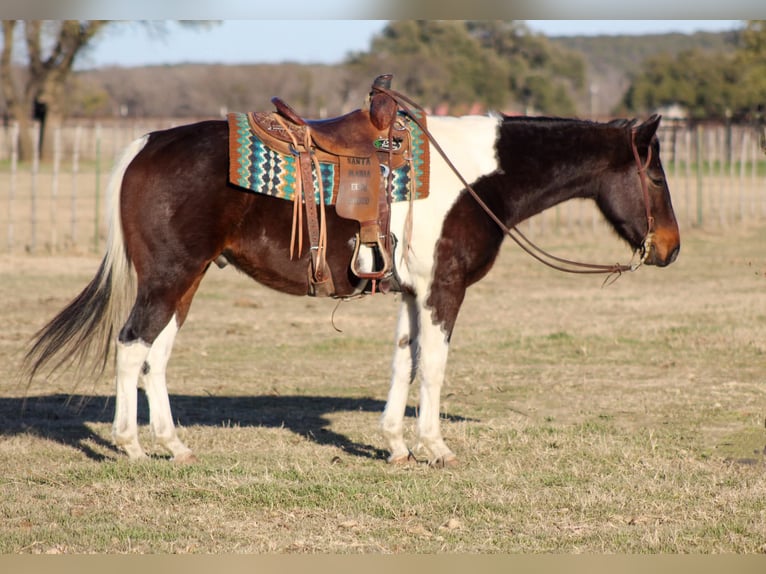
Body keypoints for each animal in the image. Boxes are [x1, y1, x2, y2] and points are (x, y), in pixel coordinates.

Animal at [24, 82, 680, 468]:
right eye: (655, 176)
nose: (671, 249)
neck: (476, 176)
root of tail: (146, 143)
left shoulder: (412, 292)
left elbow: (403, 362)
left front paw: (395, 444)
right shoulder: (444, 289)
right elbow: (433, 366)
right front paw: (435, 447)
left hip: (186, 281)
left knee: (155, 356)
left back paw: (173, 445)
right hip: (168, 278)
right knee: (132, 346)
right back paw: (131, 446)